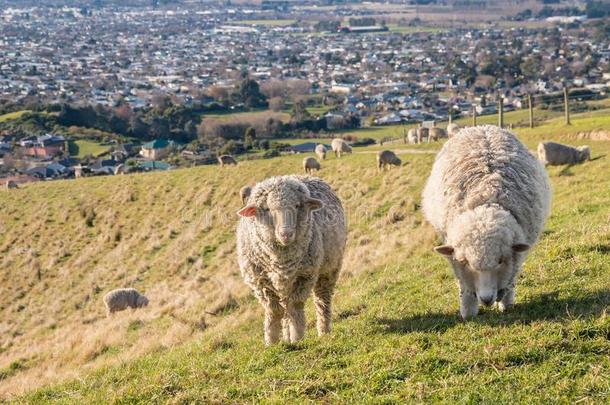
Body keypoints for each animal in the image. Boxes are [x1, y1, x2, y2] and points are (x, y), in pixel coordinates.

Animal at [235, 174, 344, 344]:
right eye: (267, 209)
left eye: (297, 205)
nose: (286, 234)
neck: (280, 260)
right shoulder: (261, 282)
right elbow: (273, 310)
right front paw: (272, 342)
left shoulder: (304, 276)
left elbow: (295, 306)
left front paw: (297, 338)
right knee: (284, 308)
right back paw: (286, 337)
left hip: (329, 270)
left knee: (321, 299)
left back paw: (323, 330)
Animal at [420, 124, 548, 320]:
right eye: (465, 262)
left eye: (501, 260)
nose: (486, 299)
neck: (486, 197)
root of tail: (480, 126)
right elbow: (464, 285)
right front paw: (468, 312)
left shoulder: (517, 255)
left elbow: (511, 278)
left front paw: (506, 304)